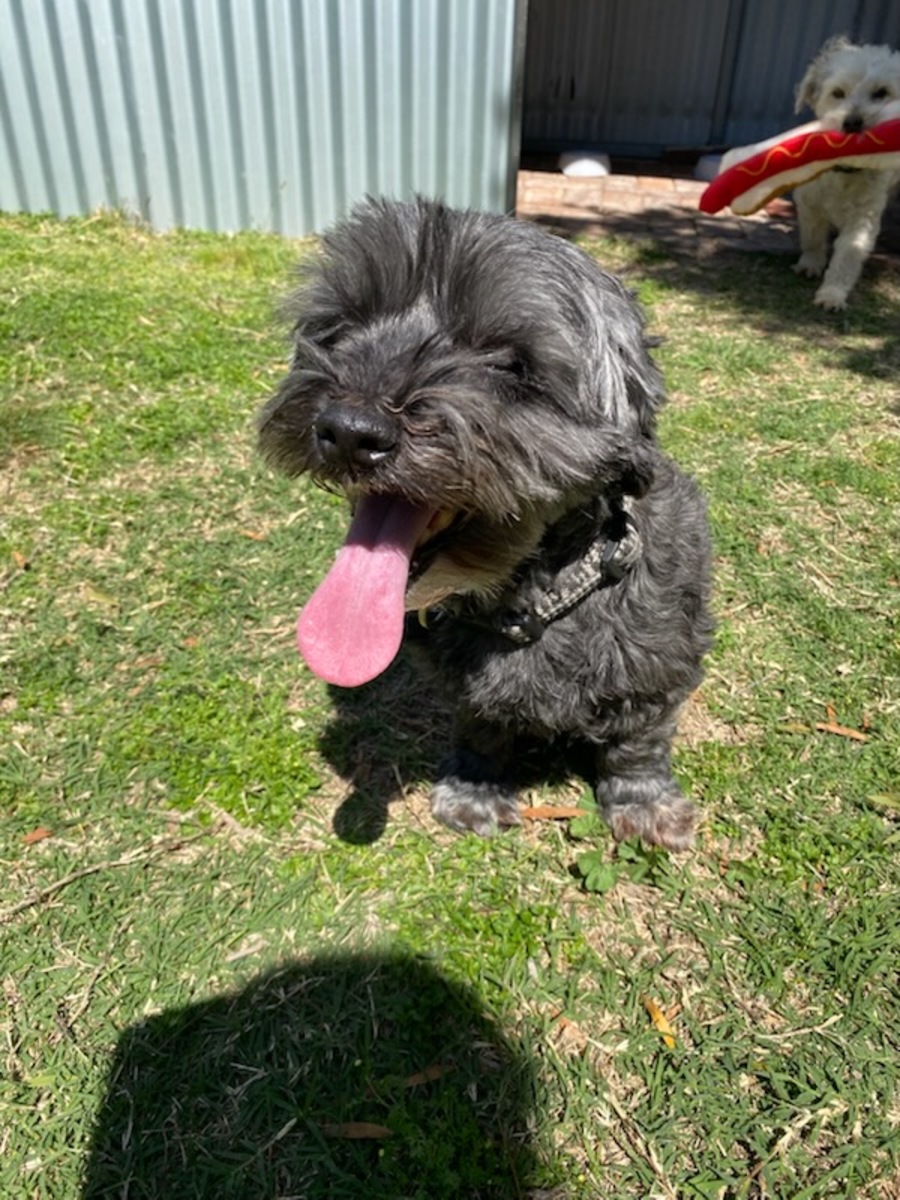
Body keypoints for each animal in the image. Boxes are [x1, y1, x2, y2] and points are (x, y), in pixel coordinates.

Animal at [258, 198, 714, 850]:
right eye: (340, 327)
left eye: (506, 360)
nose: (348, 429)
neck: (530, 603)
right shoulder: (462, 687)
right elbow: (480, 731)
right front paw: (475, 792)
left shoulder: (657, 665)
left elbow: (637, 744)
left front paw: (644, 805)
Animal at [793, 35, 900, 309]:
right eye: (837, 93)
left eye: (881, 93)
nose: (852, 123)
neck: (845, 172)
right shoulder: (809, 203)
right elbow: (812, 236)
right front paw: (810, 263)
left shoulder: (863, 219)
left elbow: (849, 254)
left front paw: (832, 293)